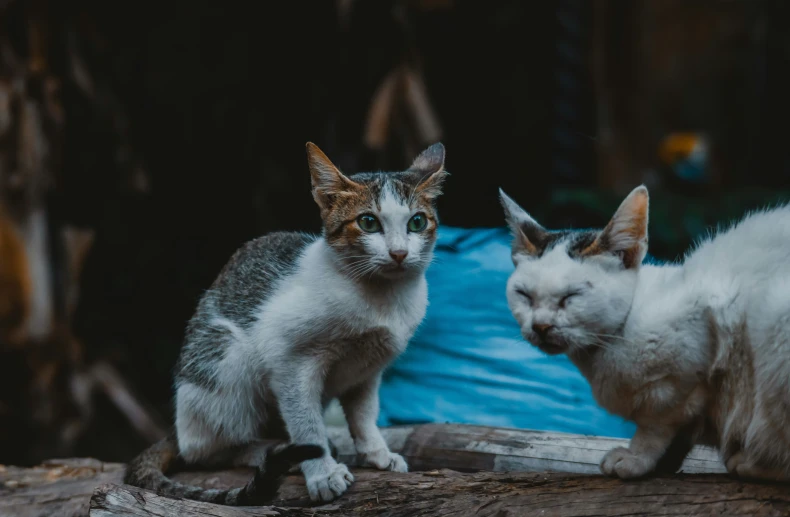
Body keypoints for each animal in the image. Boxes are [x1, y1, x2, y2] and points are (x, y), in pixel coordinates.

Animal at [123, 141, 446, 504]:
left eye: (416, 222)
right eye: (368, 222)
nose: (399, 253)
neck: (382, 299)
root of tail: (176, 431)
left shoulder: (368, 371)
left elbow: (364, 415)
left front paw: (376, 452)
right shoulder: (290, 361)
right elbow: (307, 425)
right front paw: (322, 474)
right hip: (228, 358)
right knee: (202, 451)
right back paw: (266, 450)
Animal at [502, 186, 790, 484]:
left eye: (571, 296)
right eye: (523, 295)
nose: (541, 326)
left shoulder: (687, 368)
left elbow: (656, 427)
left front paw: (637, 458)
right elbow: (681, 434)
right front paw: (665, 462)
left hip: (775, 316)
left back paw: (751, 464)